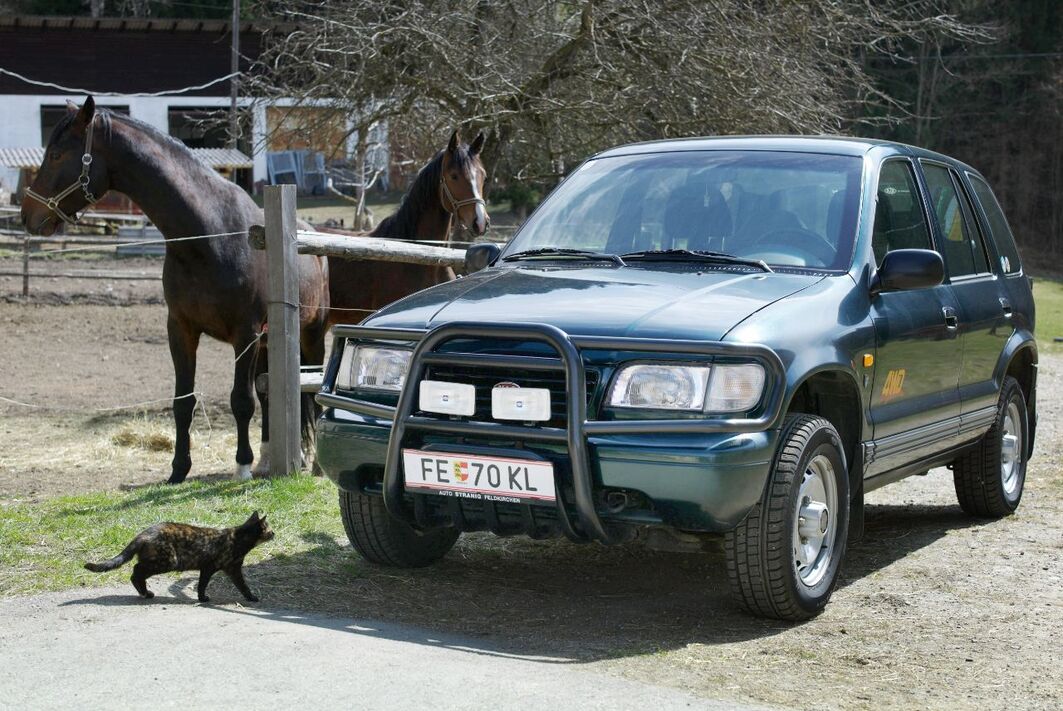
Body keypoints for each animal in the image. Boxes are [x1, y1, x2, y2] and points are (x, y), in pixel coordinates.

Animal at [19, 98, 327, 482]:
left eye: (58, 155)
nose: (26, 215)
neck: (209, 236)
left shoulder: (246, 333)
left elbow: (241, 400)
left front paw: (241, 465)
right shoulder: (181, 329)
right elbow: (184, 401)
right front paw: (179, 469)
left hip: (310, 335)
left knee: (314, 391)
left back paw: (311, 464)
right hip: (270, 343)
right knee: (272, 393)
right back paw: (270, 460)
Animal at [85, 508, 274, 603]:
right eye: (270, 529)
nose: (275, 533)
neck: (238, 538)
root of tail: (142, 535)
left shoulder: (223, 569)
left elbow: (233, 585)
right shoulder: (216, 567)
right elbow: (212, 585)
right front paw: (252, 597)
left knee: (137, 570)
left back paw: (144, 593)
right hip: (168, 561)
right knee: (136, 571)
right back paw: (146, 593)